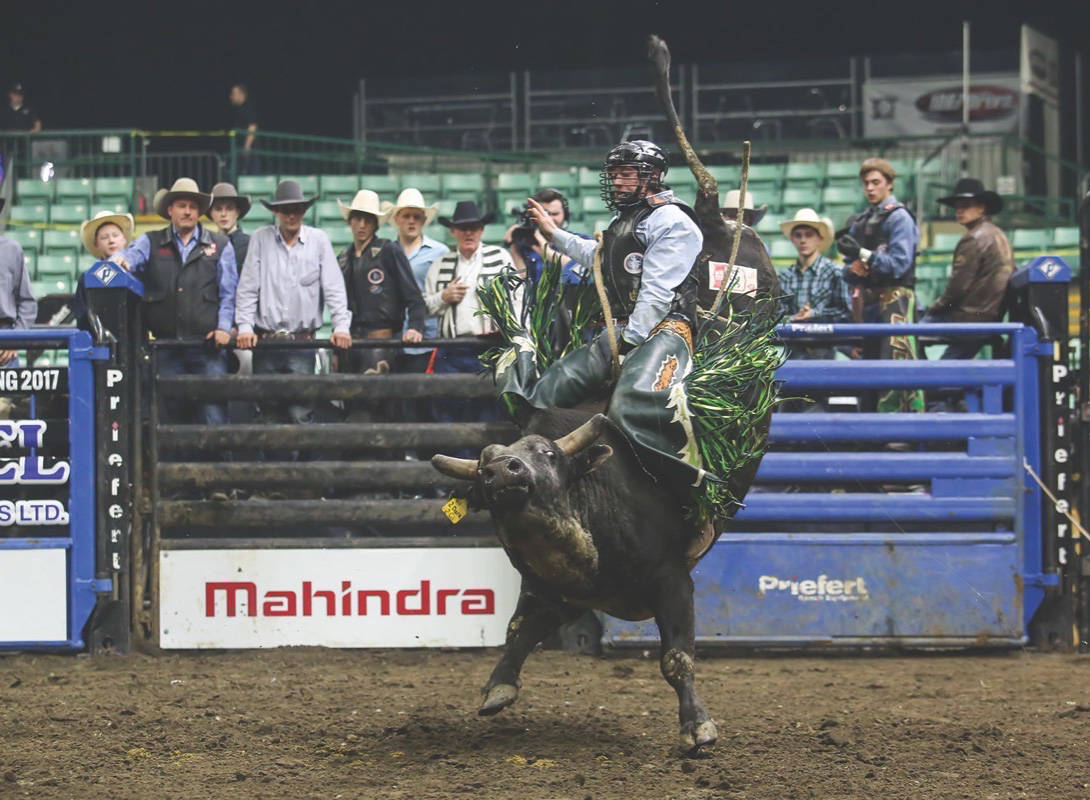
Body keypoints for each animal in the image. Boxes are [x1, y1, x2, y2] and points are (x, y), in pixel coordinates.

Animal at [429, 32, 780, 758]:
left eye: (547, 458)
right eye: (487, 466)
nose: (503, 471)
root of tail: (714, 220)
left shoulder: (674, 581)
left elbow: (677, 656)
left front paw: (697, 726)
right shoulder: (543, 587)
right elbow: (520, 630)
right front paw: (498, 688)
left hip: (694, 325)